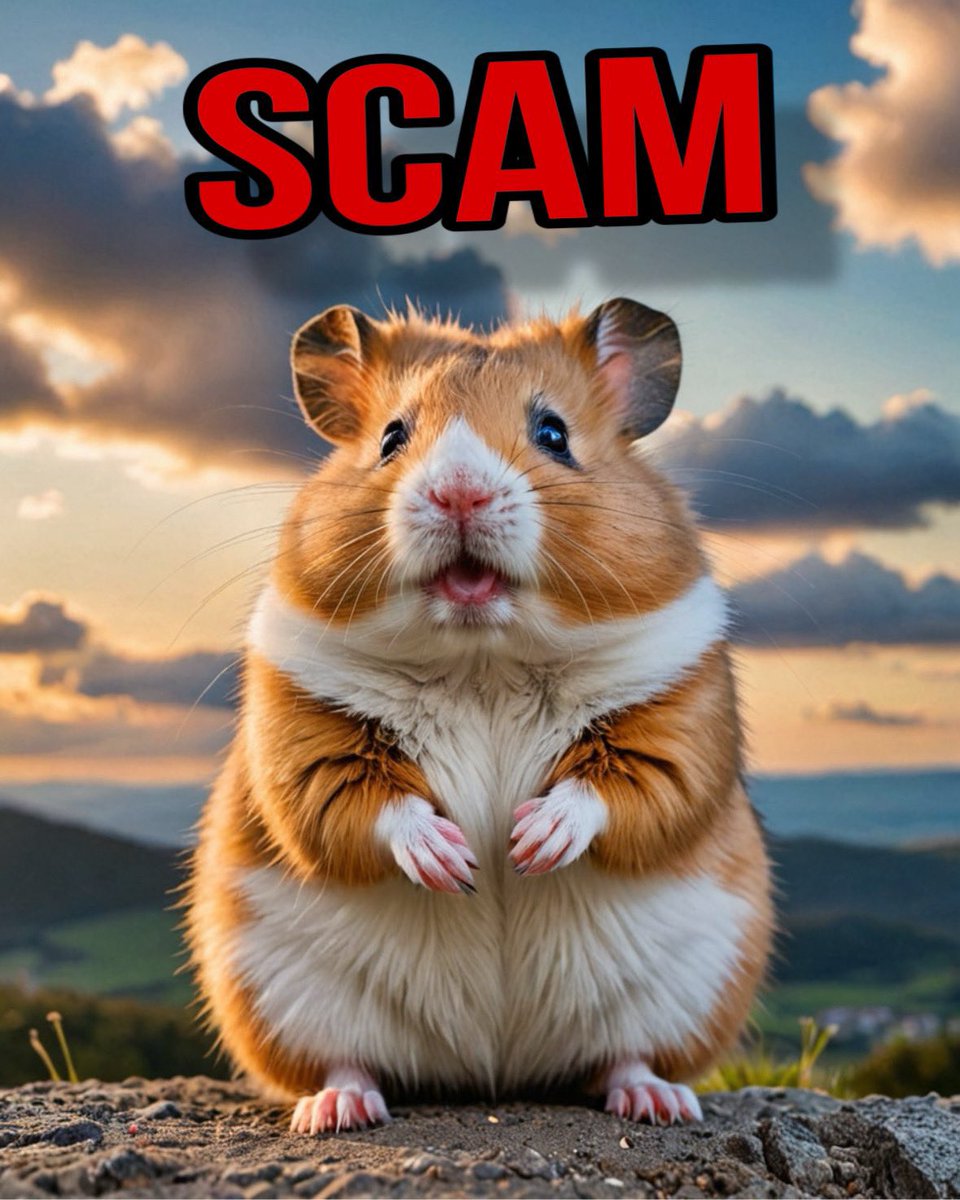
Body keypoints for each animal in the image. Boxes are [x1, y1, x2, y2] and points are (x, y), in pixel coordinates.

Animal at [184, 297, 773, 1134]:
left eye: (555, 433)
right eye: (391, 437)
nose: (458, 494)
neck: (482, 659)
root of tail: (492, 1072)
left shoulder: (678, 722)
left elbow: (622, 789)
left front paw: (525, 844)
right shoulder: (304, 740)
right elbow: (358, 805)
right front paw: (458, 862)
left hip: (690, 991)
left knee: (623, 1057)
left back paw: (657, 1102)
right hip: (279, 997)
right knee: (344, 1061)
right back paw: (338, 1109)